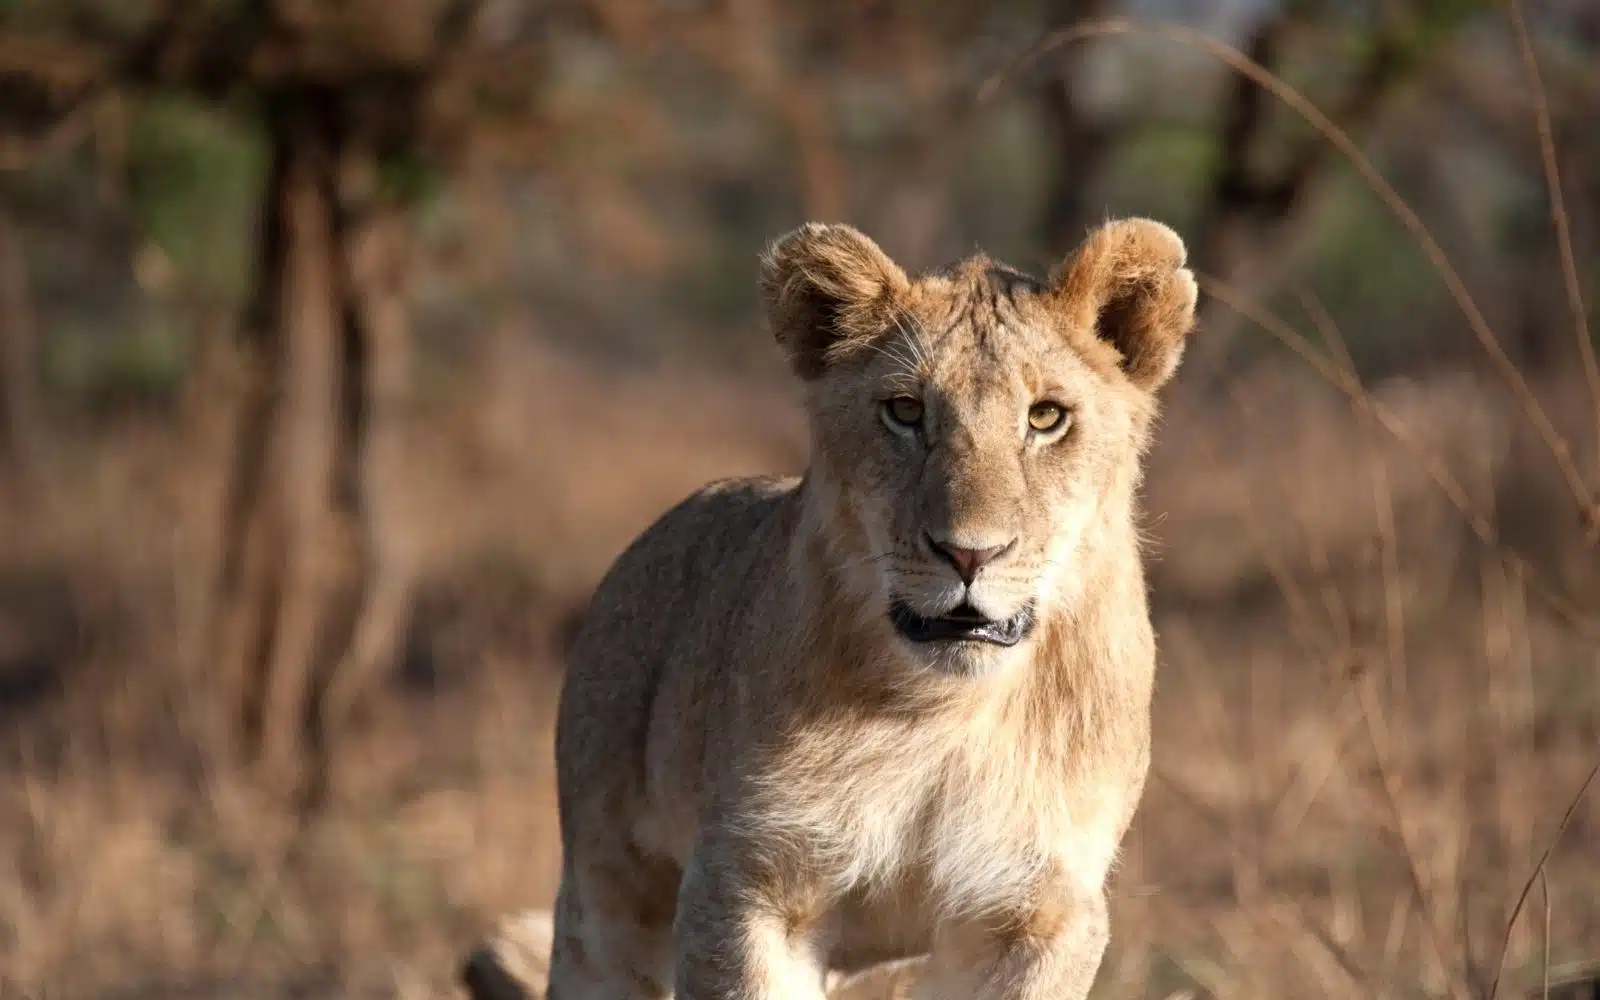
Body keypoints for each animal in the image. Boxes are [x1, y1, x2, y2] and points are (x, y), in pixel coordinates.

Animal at [545, 217, 1198, 1000]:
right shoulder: (747, 882)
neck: (943, 713)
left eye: (1046, 417)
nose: (970, 554)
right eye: (905, 411)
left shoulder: (1040, 911)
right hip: (604, 894)